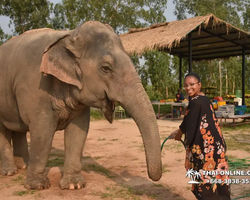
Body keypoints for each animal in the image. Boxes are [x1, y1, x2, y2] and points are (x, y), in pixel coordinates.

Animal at [0, 21, 162, 190]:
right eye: (106, 68)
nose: (151, 177)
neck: (69, 35)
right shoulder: (35, 88)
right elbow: (42, 131)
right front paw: (37, 186)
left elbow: (78, 130)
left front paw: (74, 185)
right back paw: (9, 172)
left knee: (18, 130)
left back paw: (23, 166)